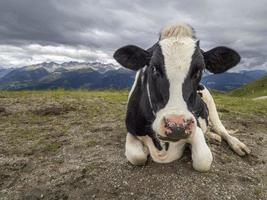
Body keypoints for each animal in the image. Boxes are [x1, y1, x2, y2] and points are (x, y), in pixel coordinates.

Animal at [113, 22, 251, 171]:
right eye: (154, 68)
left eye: (199, 70)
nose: (177, 126)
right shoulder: (132, 129)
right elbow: (137, 157)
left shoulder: (195, 126)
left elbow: (203, 159)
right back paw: (212, 136)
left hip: (210, 102)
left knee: (221, 129)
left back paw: (237, 145)